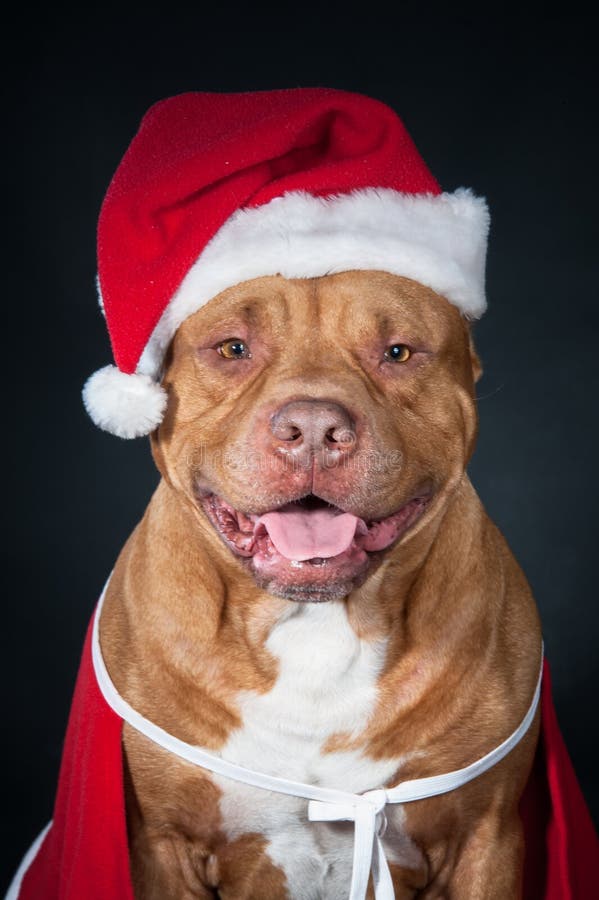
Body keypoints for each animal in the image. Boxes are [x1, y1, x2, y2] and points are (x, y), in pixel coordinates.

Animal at [99, 270, 544, 896]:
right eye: (233, 348)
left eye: (397, 352)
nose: (312, 427)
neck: (315, 625)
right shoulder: (162, 847)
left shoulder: (487, 838)